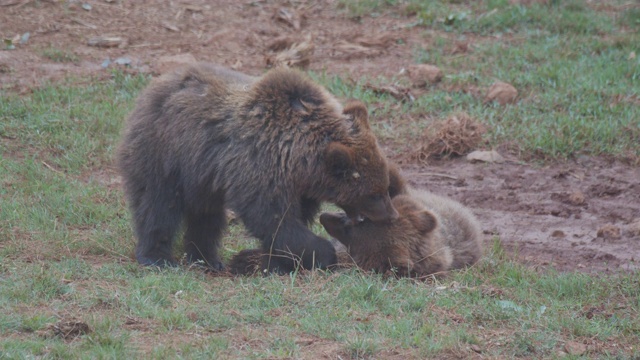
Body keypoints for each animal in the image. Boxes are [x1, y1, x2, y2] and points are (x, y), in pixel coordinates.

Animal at [115, 64, 396, 272]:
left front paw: (279, 261)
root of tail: (152, 88)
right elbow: (272, 218)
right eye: (374, 194)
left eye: (385, 186)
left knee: (206, 216)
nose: (392, 215)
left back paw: (207, 258)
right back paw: (157, 257)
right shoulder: (260, 164)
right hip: (164, 155)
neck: (299, 159)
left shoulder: (298, 185)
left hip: (202, 178)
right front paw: (322, 253)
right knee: (158, 205)